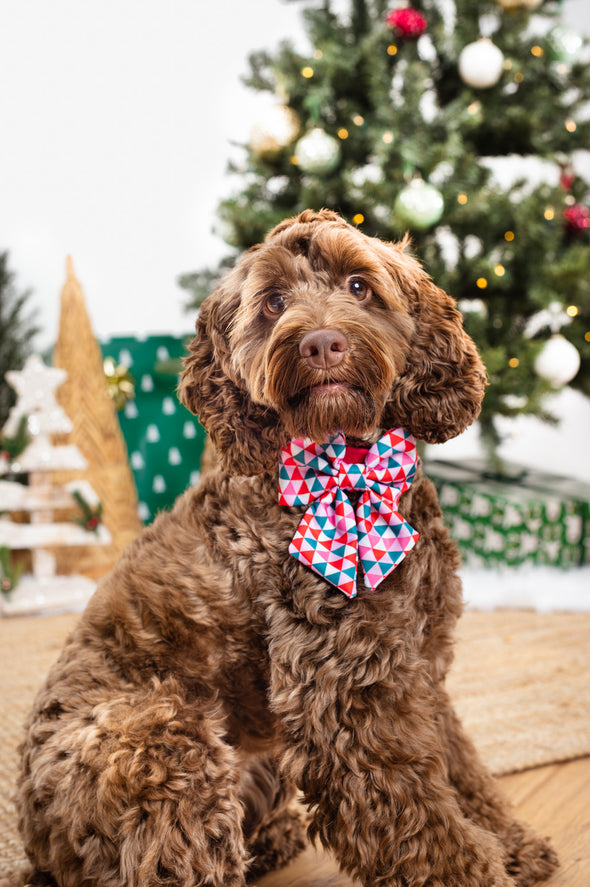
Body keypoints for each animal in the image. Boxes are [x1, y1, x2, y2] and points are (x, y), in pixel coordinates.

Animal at [15, 212, 560, 887]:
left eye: (359, 285)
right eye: (273, 302)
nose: (321, 343)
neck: (349, 467)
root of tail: (35, 844)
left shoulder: (416, 665)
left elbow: (457, 764)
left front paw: (510, 842)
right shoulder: (347, 698)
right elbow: (414, 810)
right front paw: (475, 870)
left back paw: (272, 841)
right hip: (166, 747)